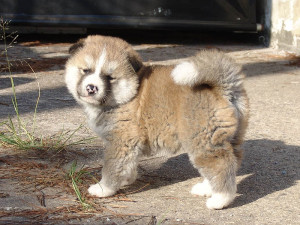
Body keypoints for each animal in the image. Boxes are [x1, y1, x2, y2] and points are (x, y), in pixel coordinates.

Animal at [65, 35, 248, 209]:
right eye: (85, 70)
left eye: (110, 77)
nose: (91, 87)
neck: (128, 94)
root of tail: (221, 87)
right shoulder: (129, 144)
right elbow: (128, 164)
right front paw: (127, 179)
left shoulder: (121, 141)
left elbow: (111, 167)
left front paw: (103, 188)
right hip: (230, 137)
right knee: (232, 162)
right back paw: (206, 189)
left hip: (202, 140)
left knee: (221, 165)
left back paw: (219, 199)